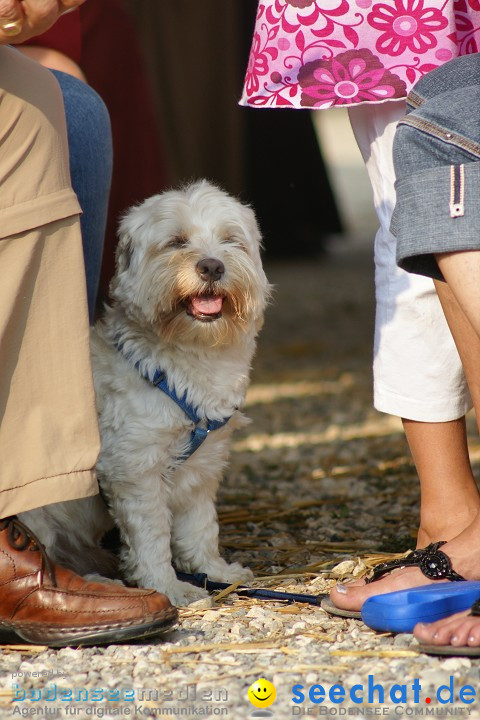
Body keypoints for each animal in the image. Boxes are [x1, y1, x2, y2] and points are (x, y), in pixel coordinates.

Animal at [20, 181, 270, 608]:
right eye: (176, 241)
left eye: (230, 240)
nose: (212, 266)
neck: (185, 361)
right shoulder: (134, 469)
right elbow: (152, 537)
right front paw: (169, 586)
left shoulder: (201, 465)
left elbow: (201, 526)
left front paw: (213, 569)